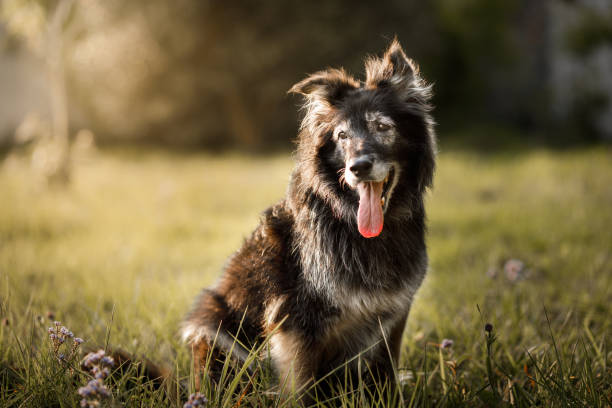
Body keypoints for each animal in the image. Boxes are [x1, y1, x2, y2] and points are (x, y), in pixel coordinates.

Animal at [179, 38, 438, 402]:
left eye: (383, 127)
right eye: (342, 136)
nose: (358, 167)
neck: (353, 225)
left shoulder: (394, 315)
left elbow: (386, 375)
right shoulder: (295, 323)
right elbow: (299, 390)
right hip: (211, 323)